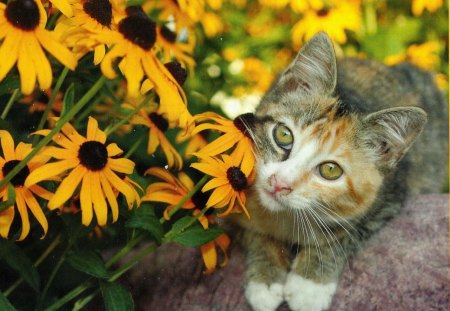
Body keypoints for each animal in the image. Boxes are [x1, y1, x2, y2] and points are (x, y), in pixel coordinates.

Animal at [232, 32, 446, 311]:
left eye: (330, 170)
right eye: (283, 135)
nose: (279, 183)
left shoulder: (390, 194)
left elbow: (345, 234)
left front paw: (308, 285)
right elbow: (253, 230)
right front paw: (265, 279)